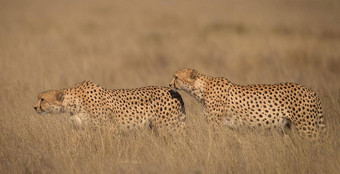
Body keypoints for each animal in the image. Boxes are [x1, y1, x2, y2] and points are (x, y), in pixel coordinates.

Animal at [169, 68, 326, 139]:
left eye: (176, 77)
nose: (169, 84)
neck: (202, 88)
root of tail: (311, 90)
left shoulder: (215, 125)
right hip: (288, 126)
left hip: (307, 127)